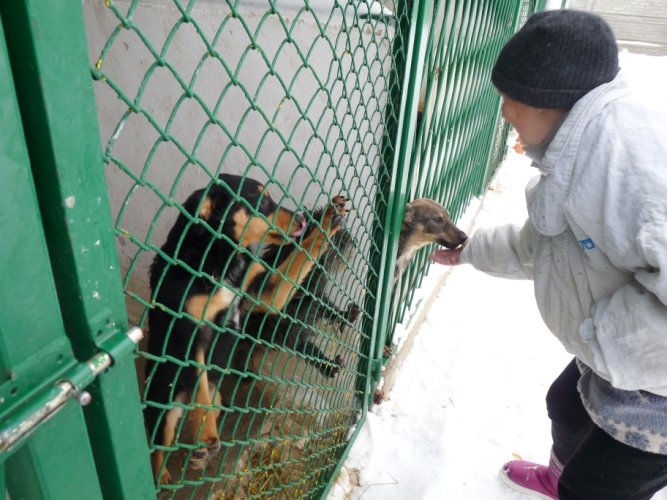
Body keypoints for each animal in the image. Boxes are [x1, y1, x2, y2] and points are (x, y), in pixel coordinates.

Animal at [147, 174, 350, 482]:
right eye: (260, 200)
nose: (302, 219)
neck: (220, 259)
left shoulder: (264, 293)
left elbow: (301, 258)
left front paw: (327, 221)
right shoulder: (190, 337)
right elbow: (200, 395)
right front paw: (208, 438)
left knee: (208, 403)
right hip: (162, 411)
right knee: (159, 446)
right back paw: (169, 471)